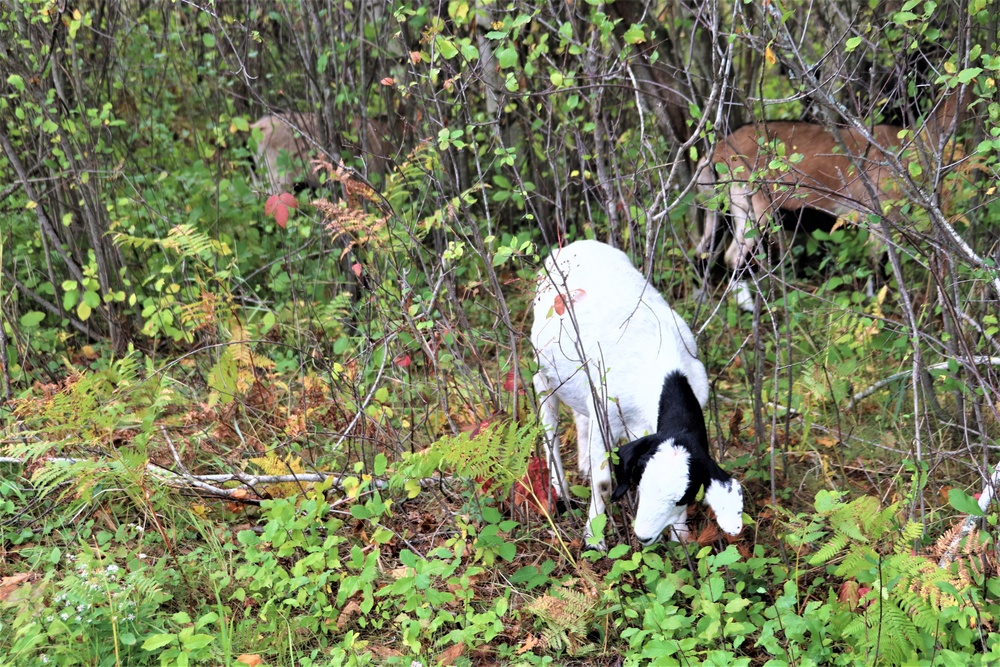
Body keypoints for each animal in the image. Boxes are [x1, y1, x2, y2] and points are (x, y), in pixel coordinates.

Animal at [532, 240, 744, 548]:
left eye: (683, 496)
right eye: (640, 482)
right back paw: (561, 488)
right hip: (543, 373)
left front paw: (681, 537)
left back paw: (582, 464)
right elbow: (603, 483)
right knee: (550, 428)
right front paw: (594, 538)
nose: (643, 537)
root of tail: (577, 244)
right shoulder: (606, 413)